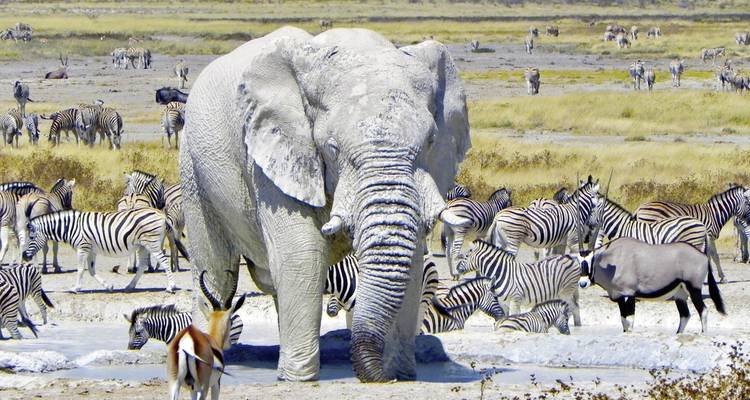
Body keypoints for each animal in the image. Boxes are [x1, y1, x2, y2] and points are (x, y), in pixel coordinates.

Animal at [22, 208, 179, 293]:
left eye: (31, 237)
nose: (24, 256)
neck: (71, 227)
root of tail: (160, 213)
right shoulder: (91, 250)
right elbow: (91, 271)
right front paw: (108, 286)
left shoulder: (82, 247)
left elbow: (80, 269)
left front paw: (75, 288)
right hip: (143, 246)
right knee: (142, 266)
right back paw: (129, 286)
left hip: (152, 243)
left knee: (164, 261)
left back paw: (171, 287)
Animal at [180, 26, 470, 382]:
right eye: (332, 148)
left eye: (430, 141)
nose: (380, 375)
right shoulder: (271, 154)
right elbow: (302, 253)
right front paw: (299, 380)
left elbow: (414, 257)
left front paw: (401, 375)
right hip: (192, 167)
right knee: (215, 276)